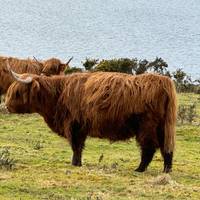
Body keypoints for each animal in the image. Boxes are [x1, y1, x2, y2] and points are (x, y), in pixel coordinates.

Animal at [5, 63, 177, 172]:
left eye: (17, 92)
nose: (6, 105)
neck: (57, 95)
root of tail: (163, 81)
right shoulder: (80, 127)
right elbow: (79, 146)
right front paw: (77, 163)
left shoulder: (73, 125)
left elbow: (76, 146)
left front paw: (75, 164)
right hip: (163, 126)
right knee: (166, 147)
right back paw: (166, 170)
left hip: (146, 126)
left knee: (149, 147)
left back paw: (139, 169)